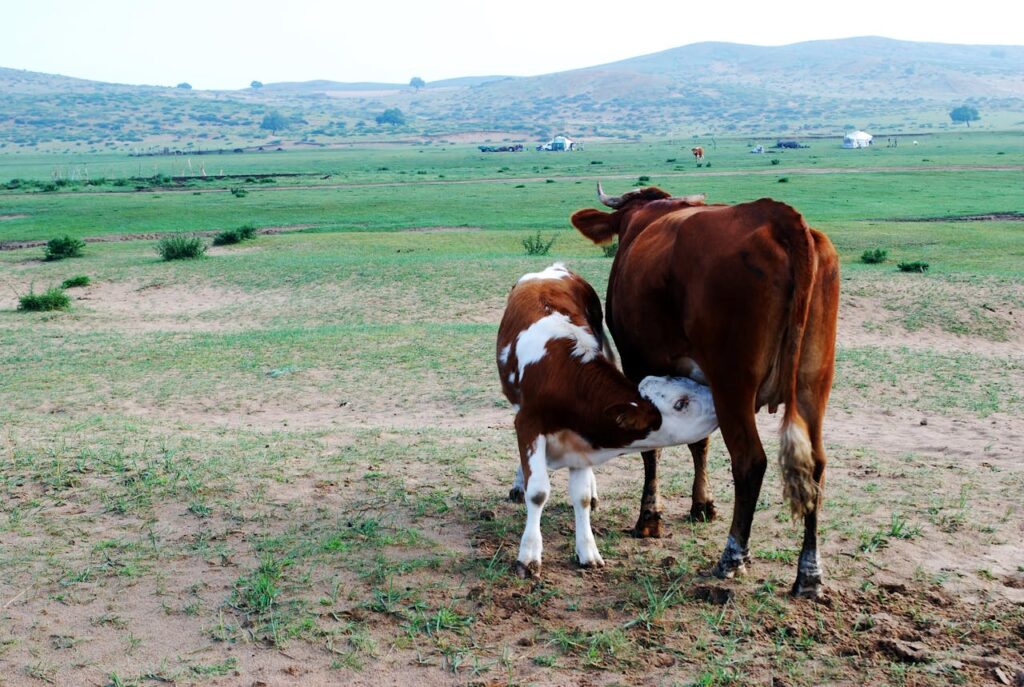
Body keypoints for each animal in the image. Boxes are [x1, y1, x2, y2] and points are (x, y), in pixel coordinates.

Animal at [498, 262, 718, 579]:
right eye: (680, 403)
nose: (716, 398)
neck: (563, 377)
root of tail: (553, 269)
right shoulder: (528, 424)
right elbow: (537, 491)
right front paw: (529, 556)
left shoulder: (582, 436)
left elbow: (580, 497)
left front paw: (587, 551)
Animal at [571, 184, 839, 598]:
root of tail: (777, 217)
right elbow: (700, 442)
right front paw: (702, 504)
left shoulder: (639, 365)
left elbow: (652, 449)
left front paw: (649, 517)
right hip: (813, 385)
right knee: (816, 466)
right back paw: (809, 573)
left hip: (734, 384)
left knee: (750, 461)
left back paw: (733, 556)